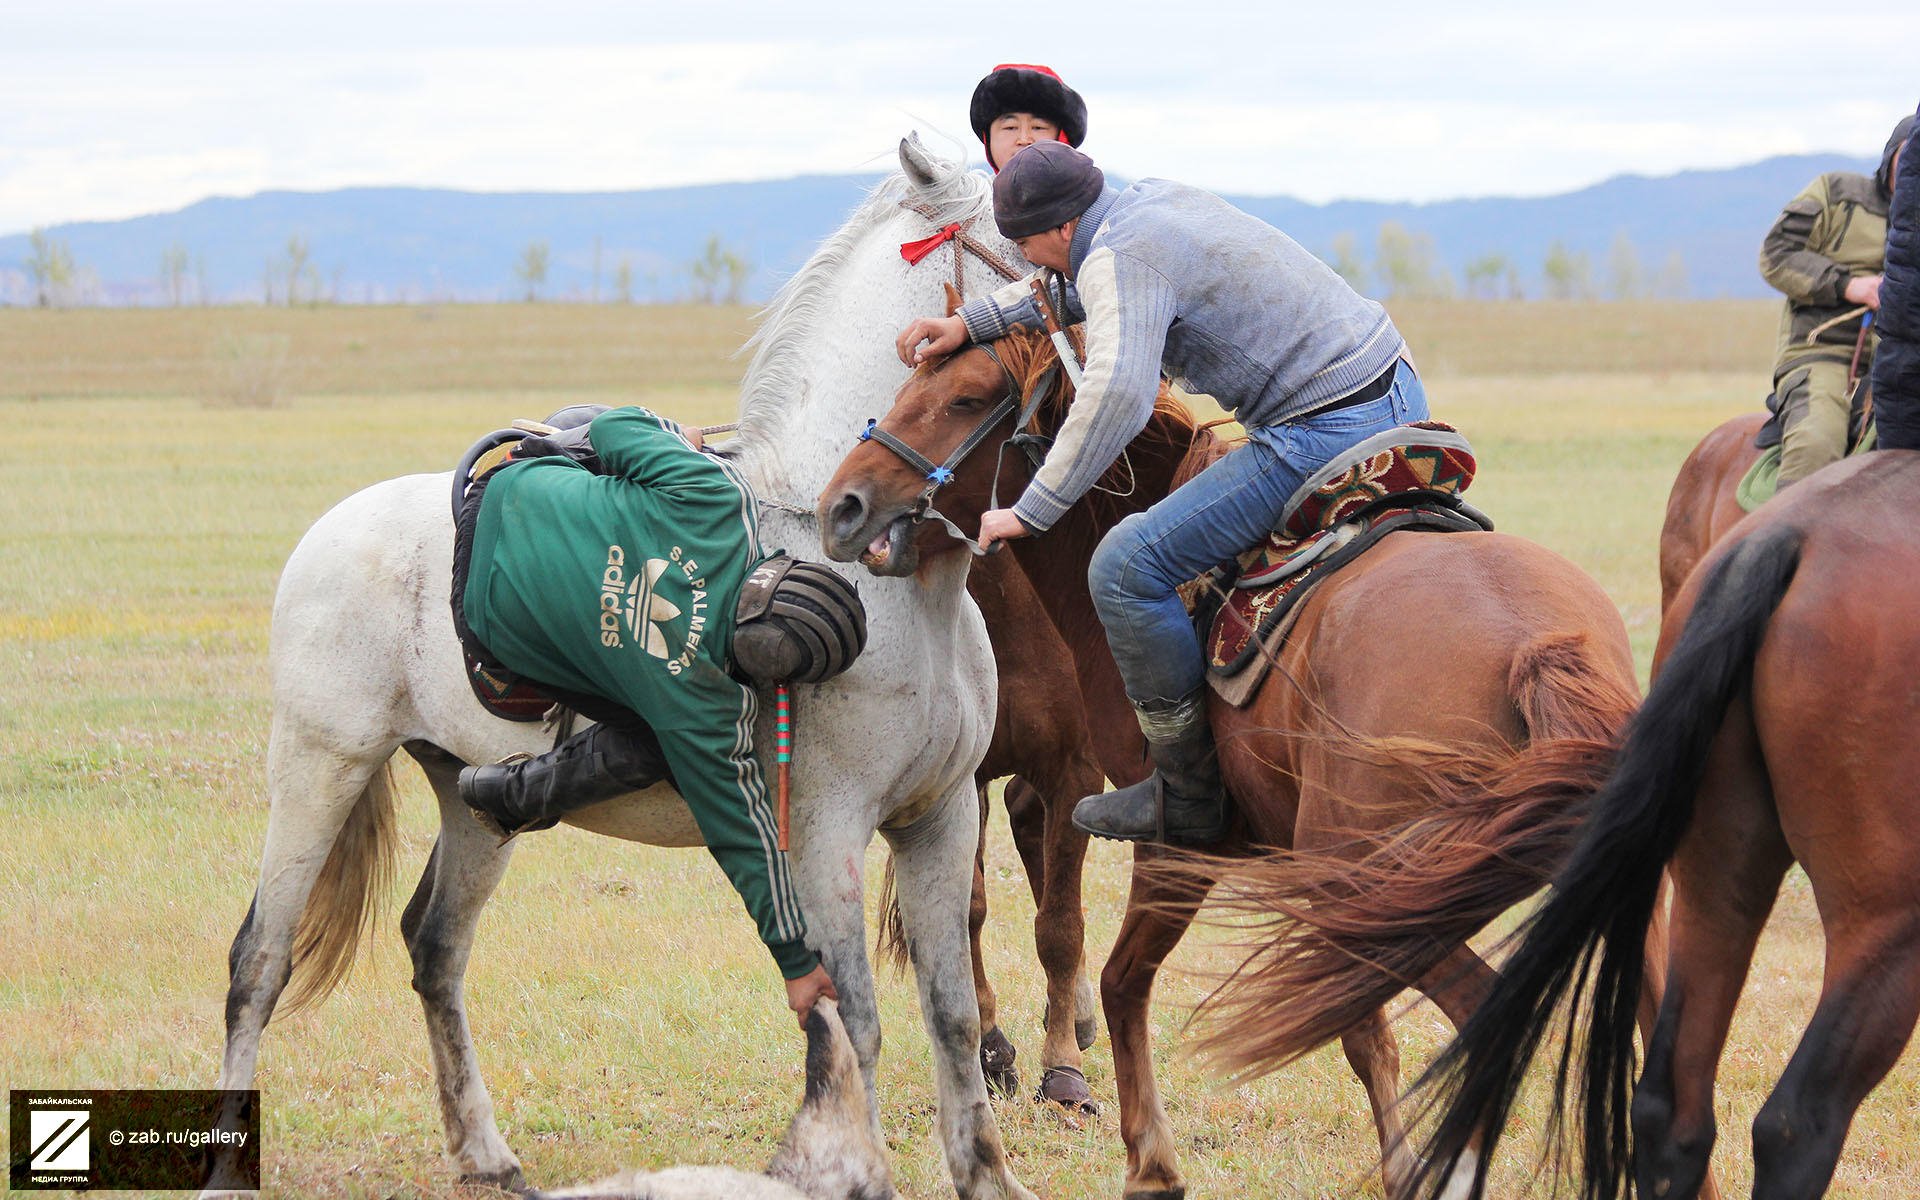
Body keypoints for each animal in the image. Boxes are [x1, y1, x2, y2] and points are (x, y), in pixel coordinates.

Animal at [210, 135, 1036, 1190]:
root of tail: (327, 531)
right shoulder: (826, 836)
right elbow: (856, 1022)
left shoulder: (939, 816)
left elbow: (953, 1016)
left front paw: (988, 1178)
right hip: (321, 767)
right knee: (259, 962)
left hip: (473, 801)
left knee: (435, 949)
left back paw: (486, 1154)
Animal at [817, 328, 1658, 1198]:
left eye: (966, 399)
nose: (843, 503)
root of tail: (1539, 647)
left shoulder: (1176, 838)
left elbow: (1125, 978)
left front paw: (1150, 1161)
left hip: (1379, 888)